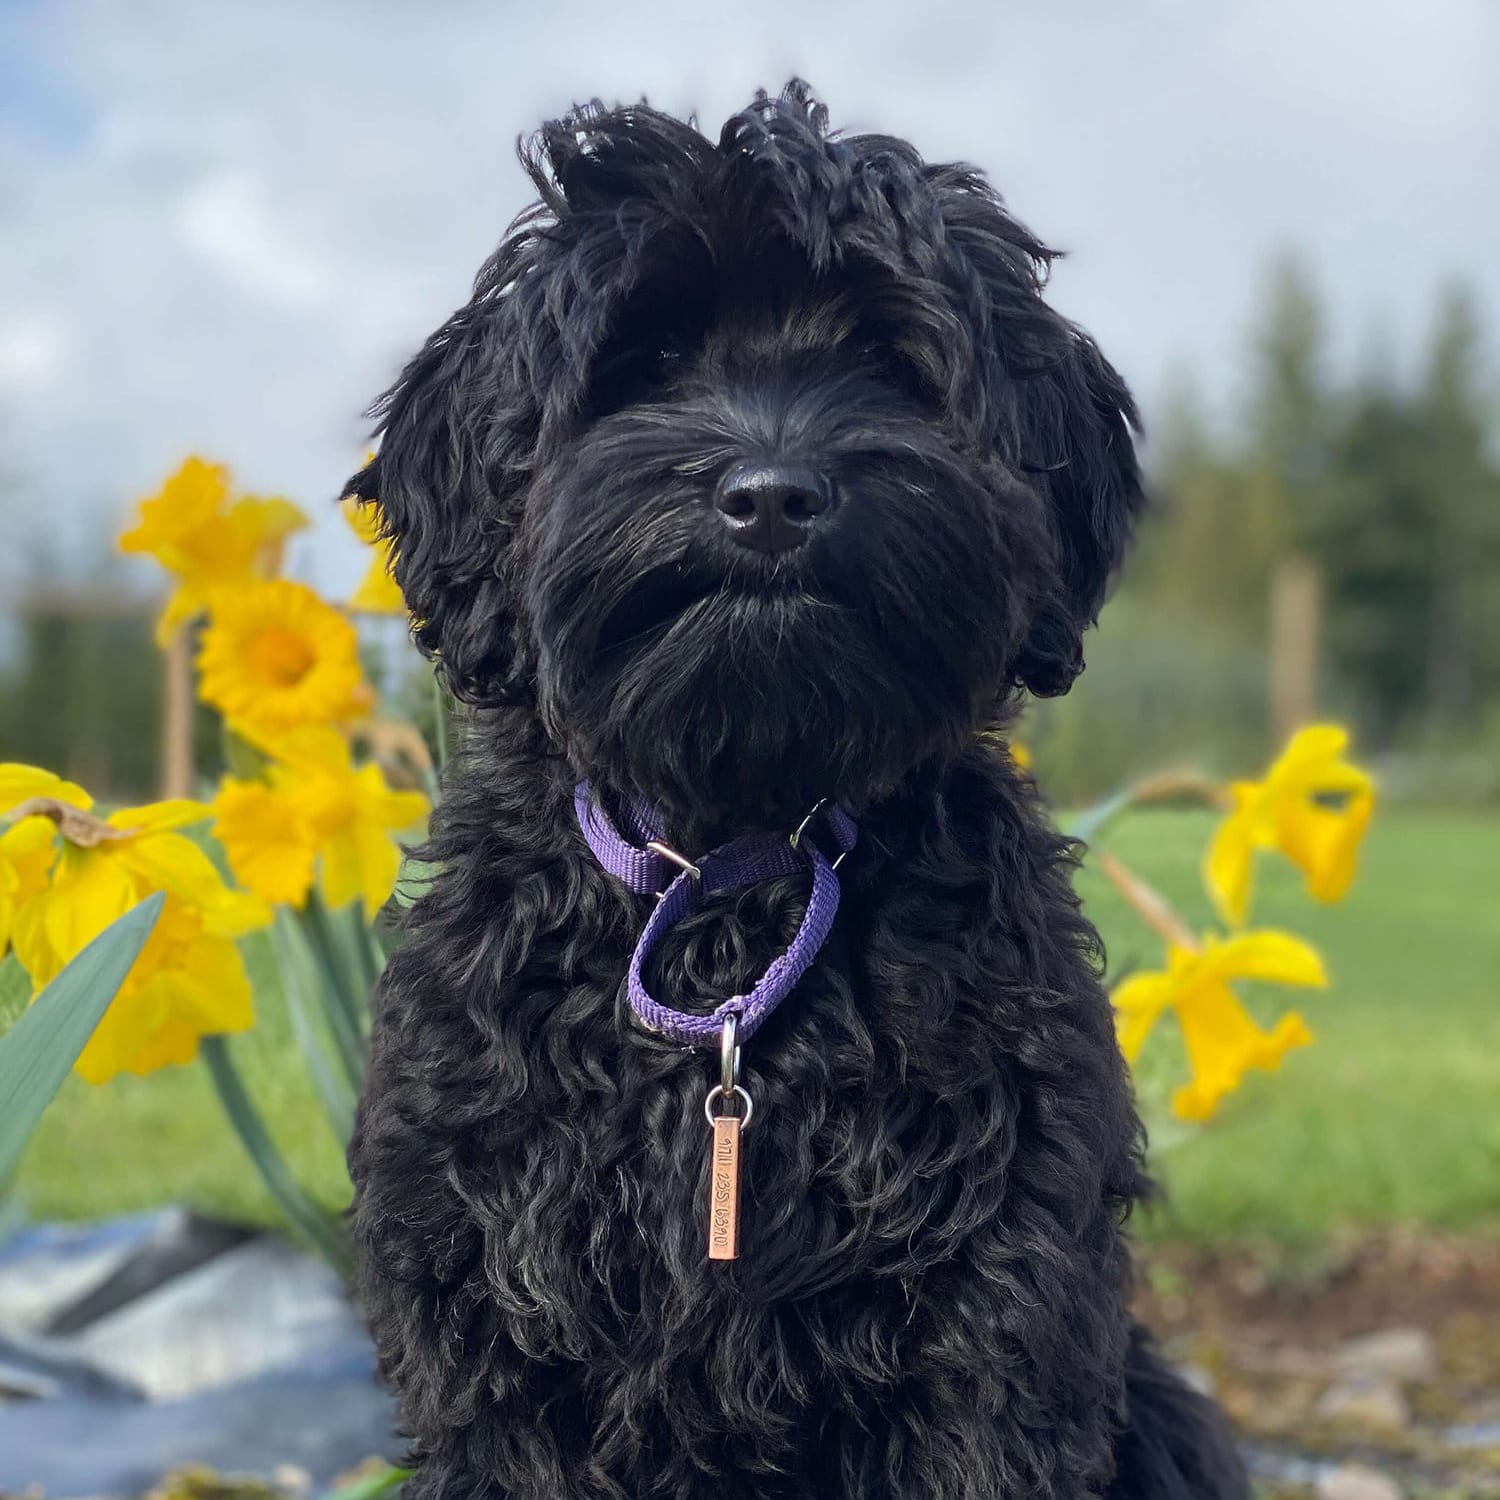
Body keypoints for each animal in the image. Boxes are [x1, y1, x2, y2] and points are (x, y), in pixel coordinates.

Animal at [345, 85, 1248, 1500]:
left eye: (886, 361)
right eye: (651, 357)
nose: (772, 496)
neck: (738, 865)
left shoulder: (996, 1323)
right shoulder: (494, 1325)